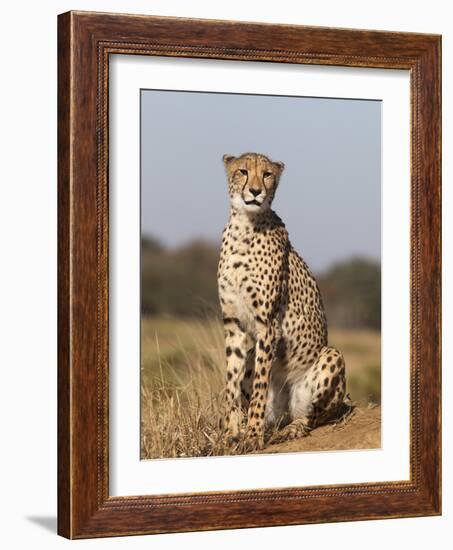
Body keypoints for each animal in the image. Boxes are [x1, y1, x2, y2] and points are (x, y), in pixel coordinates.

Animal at [216, 152, 346, 452]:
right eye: (243, 171)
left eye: (267, 175)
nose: (255, 191)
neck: (244, 226)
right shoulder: (233, 325)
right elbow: (231, 384)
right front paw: (231, 434)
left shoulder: (268, 325)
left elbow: (260, 387)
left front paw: (252, 437)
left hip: (330, 356)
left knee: (311, 418)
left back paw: (289, 430)